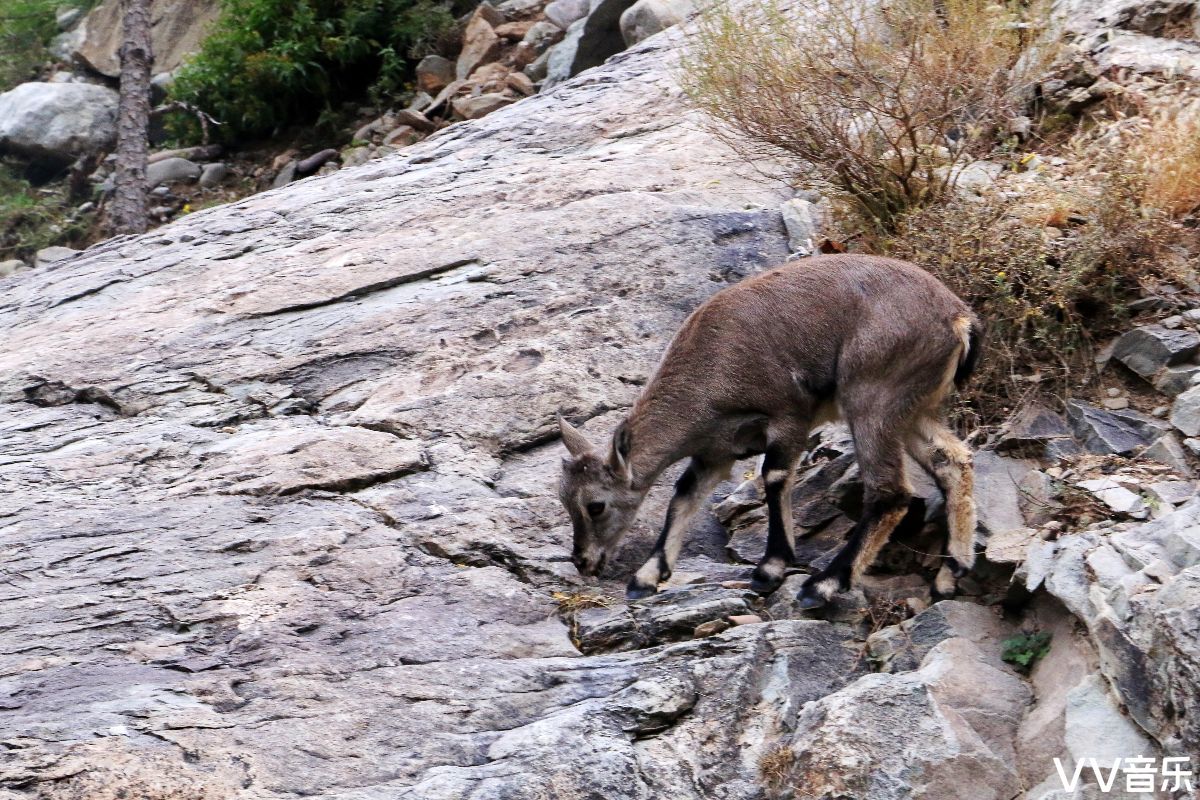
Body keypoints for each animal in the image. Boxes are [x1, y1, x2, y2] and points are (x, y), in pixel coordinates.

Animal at [556, 255, 979, 606]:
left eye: (595, 505)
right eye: (565, 500)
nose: (582, 561)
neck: (709, 371)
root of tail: (959, 319)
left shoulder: (788, 417)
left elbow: (773, 478)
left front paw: (770, 569)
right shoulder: (716, 451)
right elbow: (685, 494)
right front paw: (647, 576)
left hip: (872, 398)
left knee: (890, 492)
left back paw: (824, 585)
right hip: (910, 409)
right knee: (952, 462)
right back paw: (950, 575)